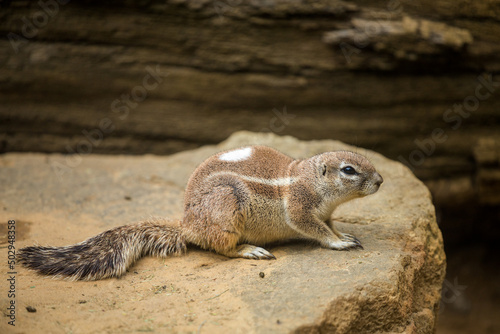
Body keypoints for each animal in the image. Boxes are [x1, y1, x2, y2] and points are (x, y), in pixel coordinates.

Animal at [18, 145, 382, 280]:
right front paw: (337, 242)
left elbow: (330, 224)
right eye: (349, 170)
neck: (308, 178)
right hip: (226, 209)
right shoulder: (300, 207)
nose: (380, 180)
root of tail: (187, 226)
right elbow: (313, 228)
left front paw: (343, 233)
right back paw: (249, 250)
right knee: (222, 249)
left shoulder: (326, 212)